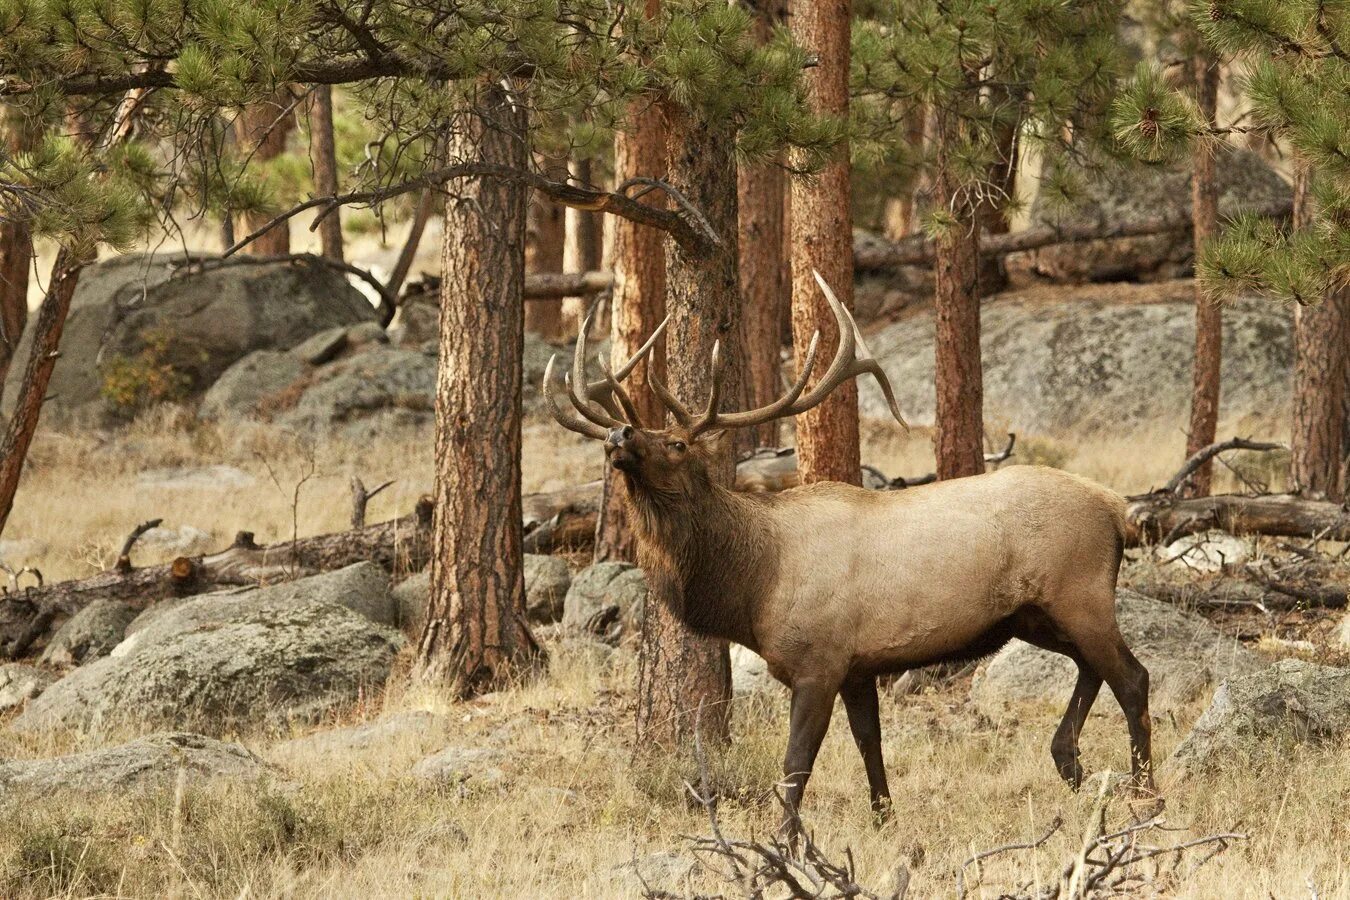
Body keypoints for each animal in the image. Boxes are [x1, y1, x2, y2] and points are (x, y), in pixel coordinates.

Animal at [542, 272, 1155, 831]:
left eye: (675, 443)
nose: (618, 435)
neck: (754, 586)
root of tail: (1116, 509)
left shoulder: (820, 659)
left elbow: (795, 765)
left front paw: (787, 844)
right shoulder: (860, 667)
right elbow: (869, 745)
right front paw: (884, 821)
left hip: (1079, 592)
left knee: (1132, 677)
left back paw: (1144, 794)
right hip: (1034, 614)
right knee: (1091, 667)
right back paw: (1069, 762)